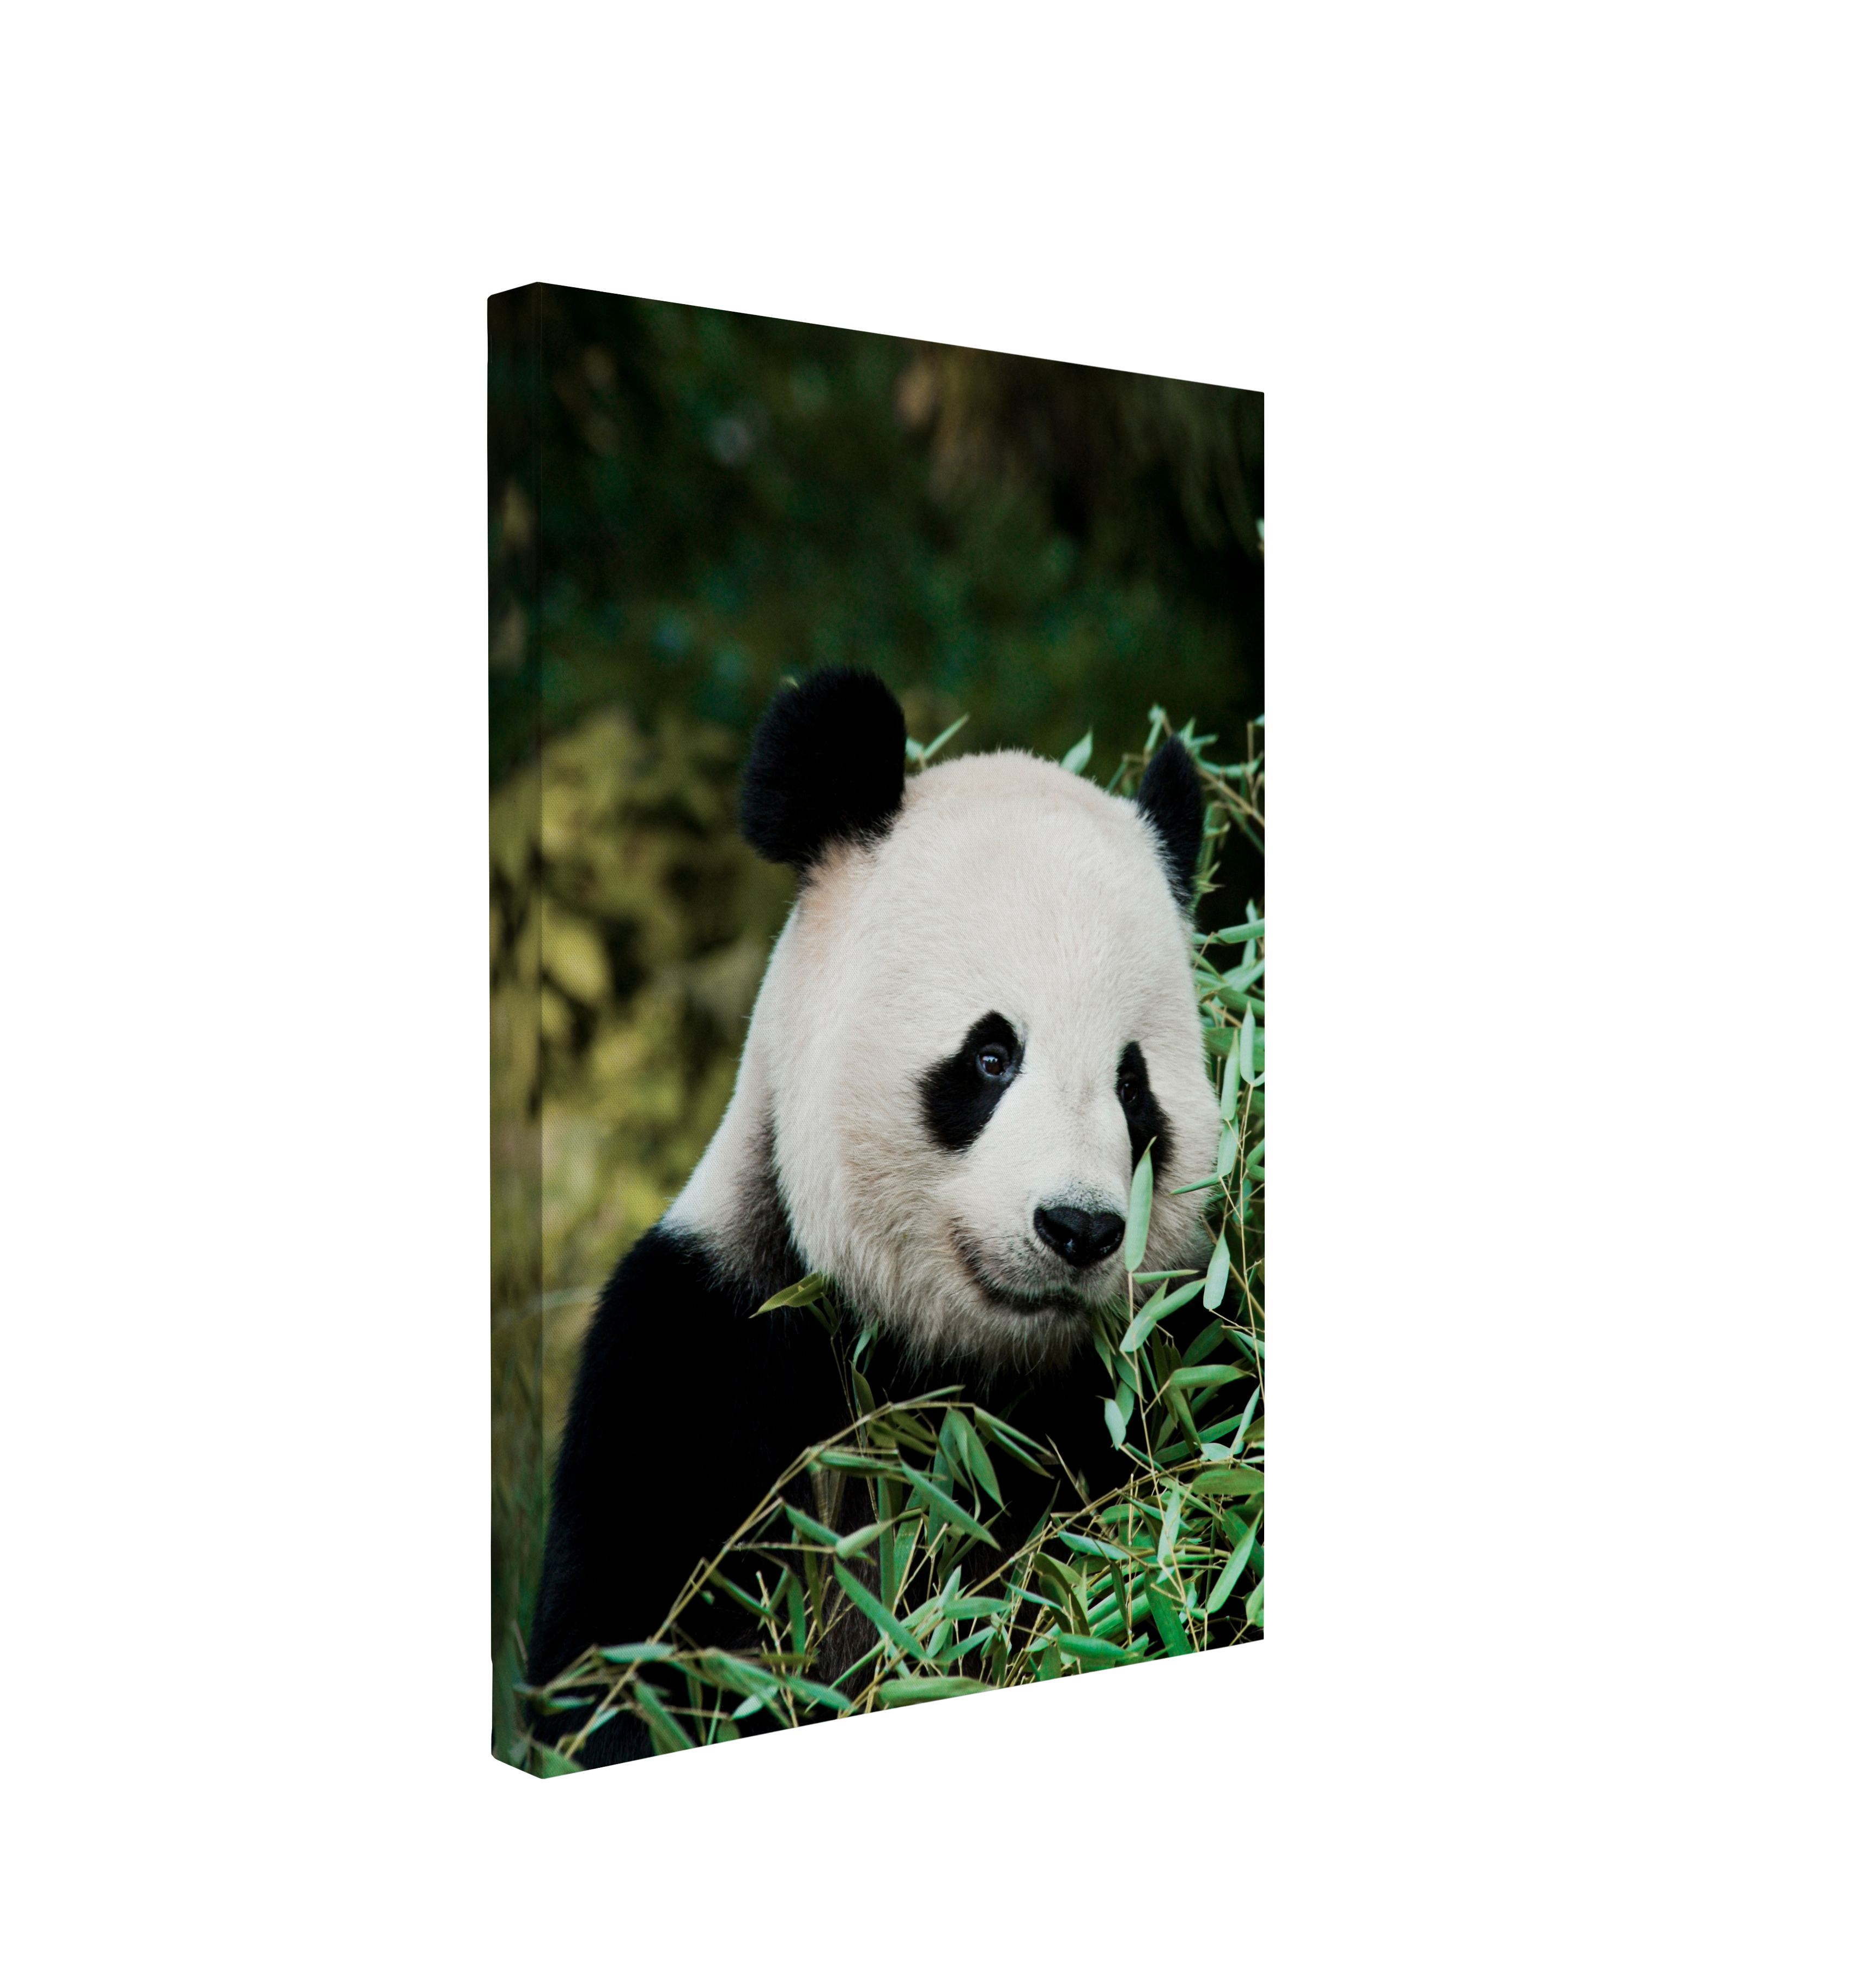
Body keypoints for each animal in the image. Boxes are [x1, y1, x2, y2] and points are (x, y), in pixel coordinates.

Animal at [527, 667, 1222, 1768]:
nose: (1076, 1229)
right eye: (991, 1056)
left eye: (1132, 1086)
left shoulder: (1166, 1383)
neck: (945, 1371)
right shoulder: (703, 1358)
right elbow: (625, 1669)